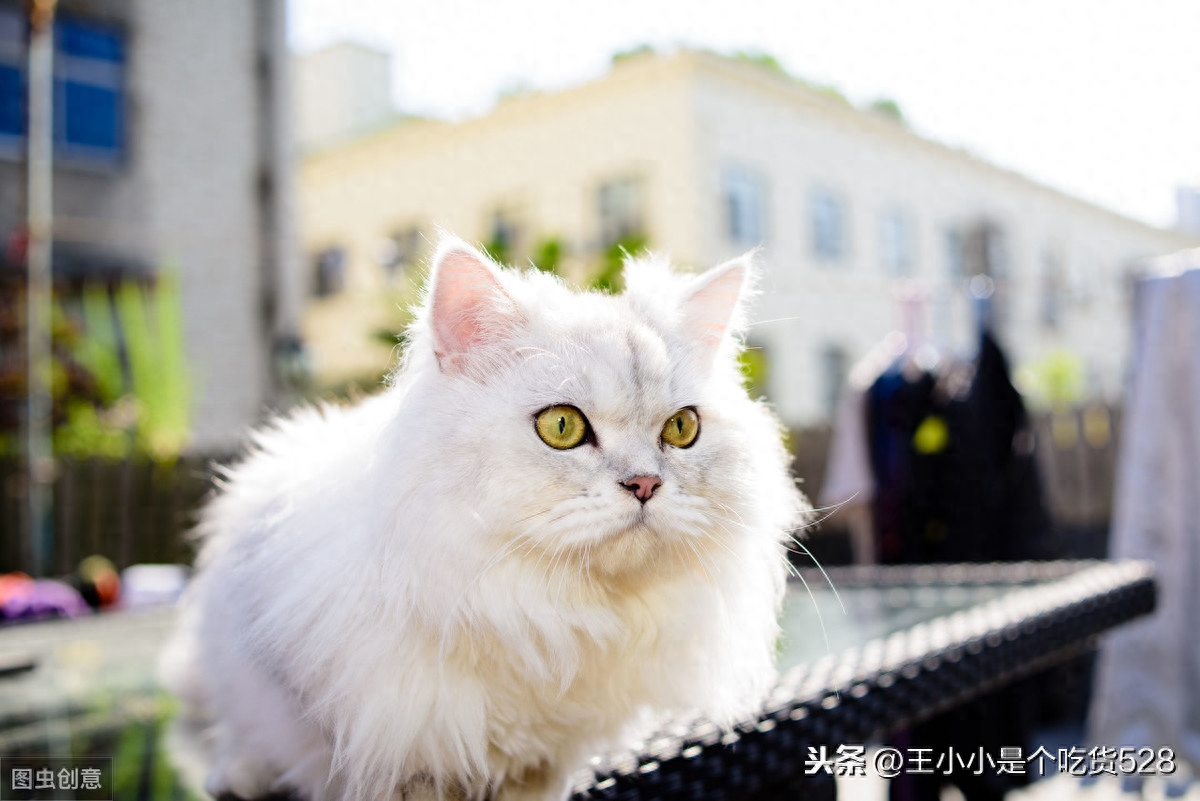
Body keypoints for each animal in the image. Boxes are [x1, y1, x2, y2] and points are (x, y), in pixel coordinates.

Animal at [162, 237, 806, 801]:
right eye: (562, 427)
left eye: (681, 428)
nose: (645, 484)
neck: (541, 610)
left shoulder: (550, 750)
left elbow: (535, 778)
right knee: (238, 730)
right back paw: (238, 774)